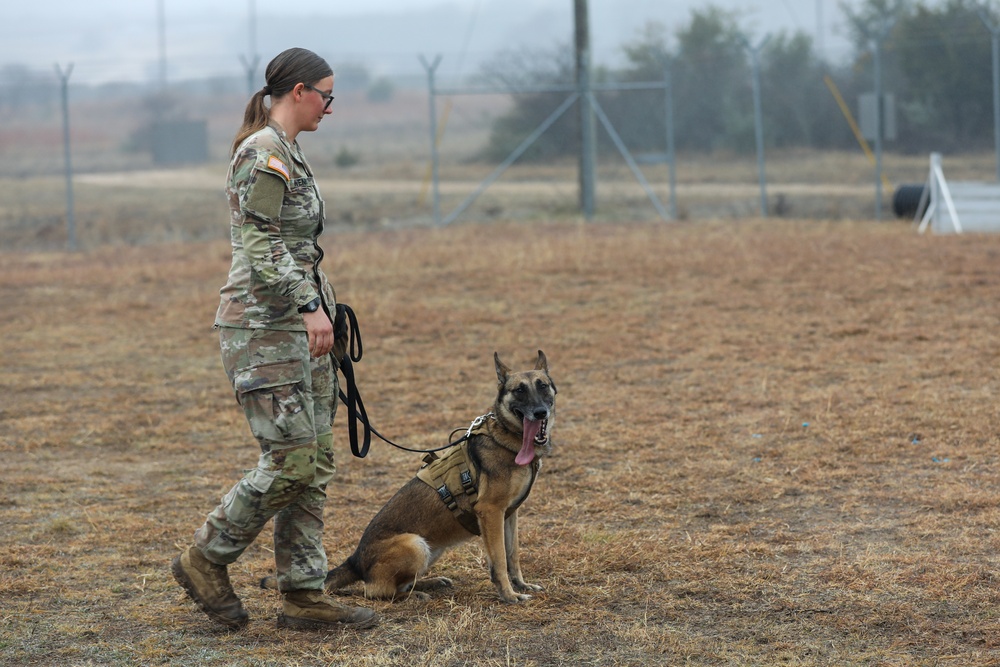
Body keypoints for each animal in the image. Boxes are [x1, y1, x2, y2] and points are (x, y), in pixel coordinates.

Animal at [304, 352, 556, 604]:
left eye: (542, 386)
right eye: (519, 390)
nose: (540, 412)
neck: (506, 437)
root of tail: (355, 559)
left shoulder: (509, 514)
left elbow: (513, 555)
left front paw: (521, 585)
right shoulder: (491, 512)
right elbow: (500, 559)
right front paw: (509, 594)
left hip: (432, 548)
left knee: (404, 582)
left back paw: (431, 583)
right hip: (415, 545)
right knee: (378, 591)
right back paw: (416, 595)